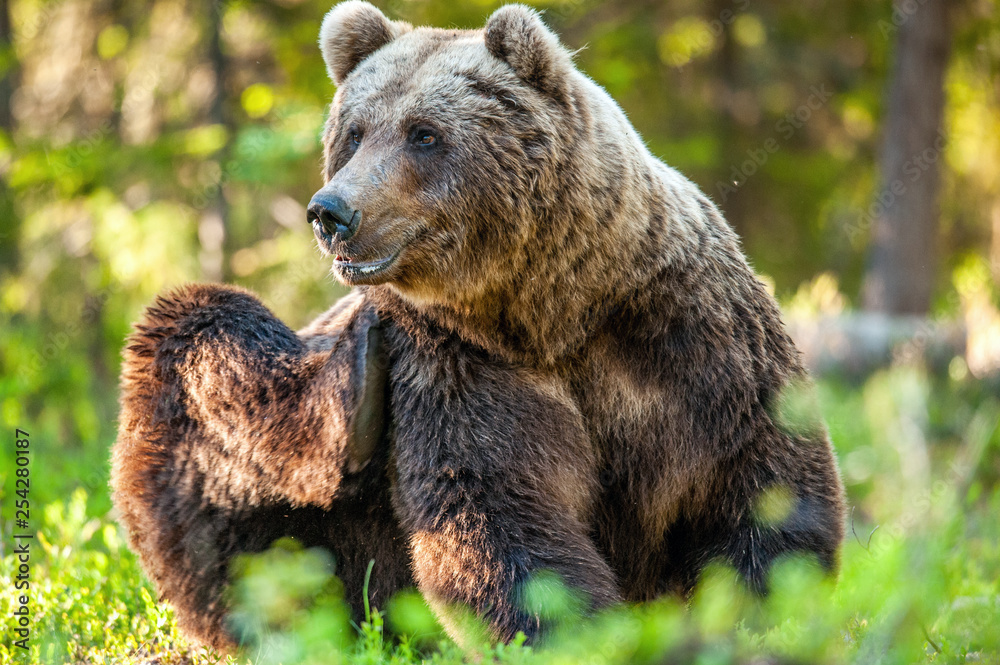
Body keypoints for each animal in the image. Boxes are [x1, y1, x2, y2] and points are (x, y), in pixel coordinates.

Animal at [111, 1, 846, 653]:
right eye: (354, 132)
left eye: (424, 133)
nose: (332, 211)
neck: (552, 308)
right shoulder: (457, 358)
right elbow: (496, 512)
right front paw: (576, 631)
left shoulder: (690, 333)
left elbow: (761, 484)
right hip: (250, 505)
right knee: (204, 337)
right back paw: (352, 392)